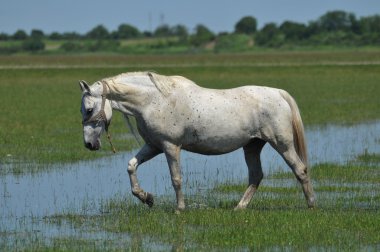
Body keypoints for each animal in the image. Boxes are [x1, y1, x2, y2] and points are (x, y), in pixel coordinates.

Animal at [78, 71, 314, 211]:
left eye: (89, 109)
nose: (89, 144)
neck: (154, 101)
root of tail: (279, 93)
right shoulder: (154, 146)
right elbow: (131, 166)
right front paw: (146, 197)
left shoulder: (171, 147)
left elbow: (176, 178)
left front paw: (179, 209)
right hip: (252, 146)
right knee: (256, 176)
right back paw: (239, 207)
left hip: (282, 144)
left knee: (300, 169)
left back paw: (311, 204)